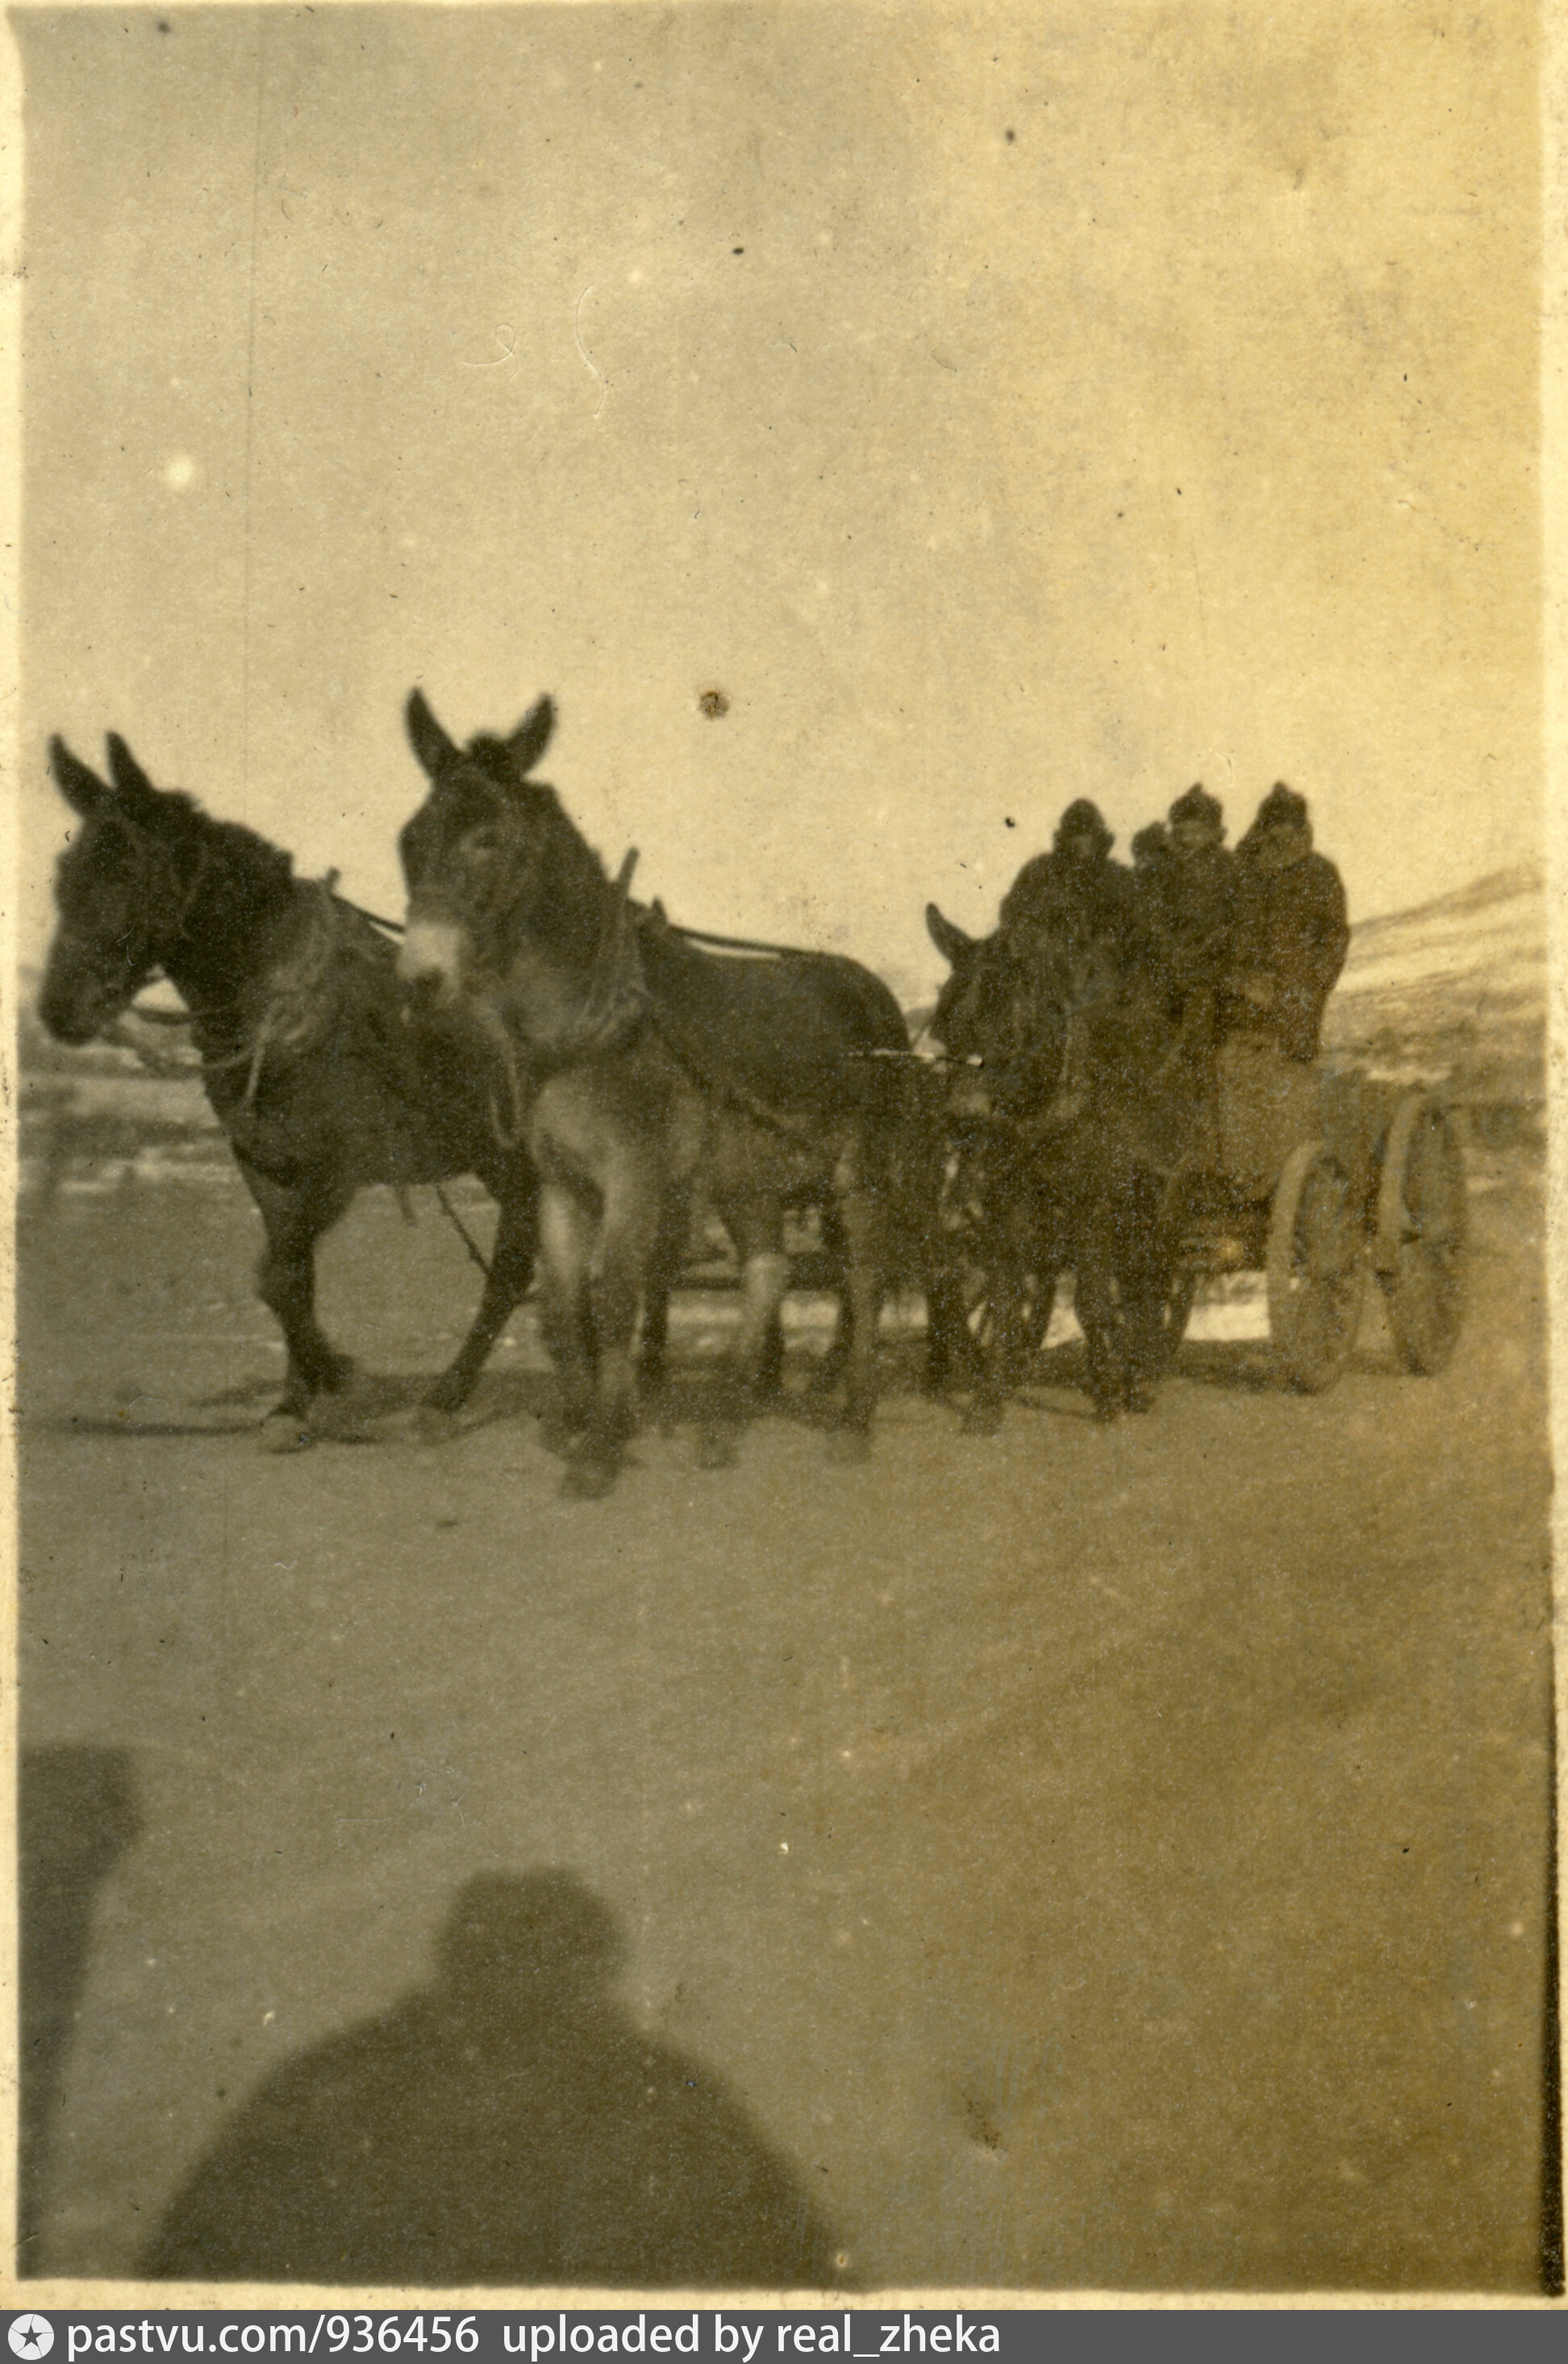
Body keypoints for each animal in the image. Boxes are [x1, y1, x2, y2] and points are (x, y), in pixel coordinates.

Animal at [40, 733, 544, 1437]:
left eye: (128, 872)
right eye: (66, 873)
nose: (60, 1009)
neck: (278, 1007)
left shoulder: (336, 1170)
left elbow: (276, 1277)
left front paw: (340, 1375)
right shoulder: (266, 1164)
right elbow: (289, 1275)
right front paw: (292, 1401)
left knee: (517, 1269)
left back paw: (449, 1397)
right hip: (503, 1162)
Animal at [394, 690, 907, 1493]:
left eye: (489, 841)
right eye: (410, 840)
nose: (420, 980)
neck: (591, 1017)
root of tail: (866, 985)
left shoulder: (633, 1173)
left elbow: (614, 1295)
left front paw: (603, 1445)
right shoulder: (560, 1179)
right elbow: (563, 1301)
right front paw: (578, 1417)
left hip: (859, 1173)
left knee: (864, 1276)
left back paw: (853, 1418)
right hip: (747, 1178)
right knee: (768, 1272)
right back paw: (727, 1420)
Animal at [922, 898, 1191, 1418]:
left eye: (1005, 1030)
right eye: (944, 1028)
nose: (960, 1120)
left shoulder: (1094, 1207)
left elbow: (1091, 1301)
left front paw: (1107, 1393)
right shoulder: (1005, 1208)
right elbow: (1007, 1299)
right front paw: (991, 1399)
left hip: (1156, 1205)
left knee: (1149, 1282)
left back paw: (1141, 1375)